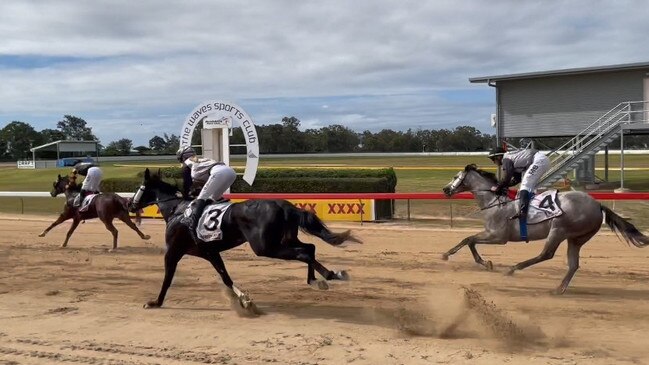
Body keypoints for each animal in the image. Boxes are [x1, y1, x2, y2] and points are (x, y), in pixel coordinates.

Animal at [128, 169, 360, 312]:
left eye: (140, 188)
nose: (130, 204)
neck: (177, 210)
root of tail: (285, 205)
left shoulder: (173, 251)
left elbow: (167, 278)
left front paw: (155, 302)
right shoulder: (210, 252)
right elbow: (225, 277)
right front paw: (244, 300)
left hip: (265, 247)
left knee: (303, 253)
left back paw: (328, 275)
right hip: (283, 240)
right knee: (310, 248)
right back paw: (321, 278)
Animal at [440, 164, 648, 294]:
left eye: (455, 177)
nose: (445, 189)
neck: (495, 202)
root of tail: (597, 205)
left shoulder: (498, 236)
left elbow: (469, 240)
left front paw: (455, 256)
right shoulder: (493, 235)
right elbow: (469, 240)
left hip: (558, 230)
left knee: (546, 254)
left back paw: (513, 269)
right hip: (577, 238)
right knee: (573, 264)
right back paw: (559, 289)